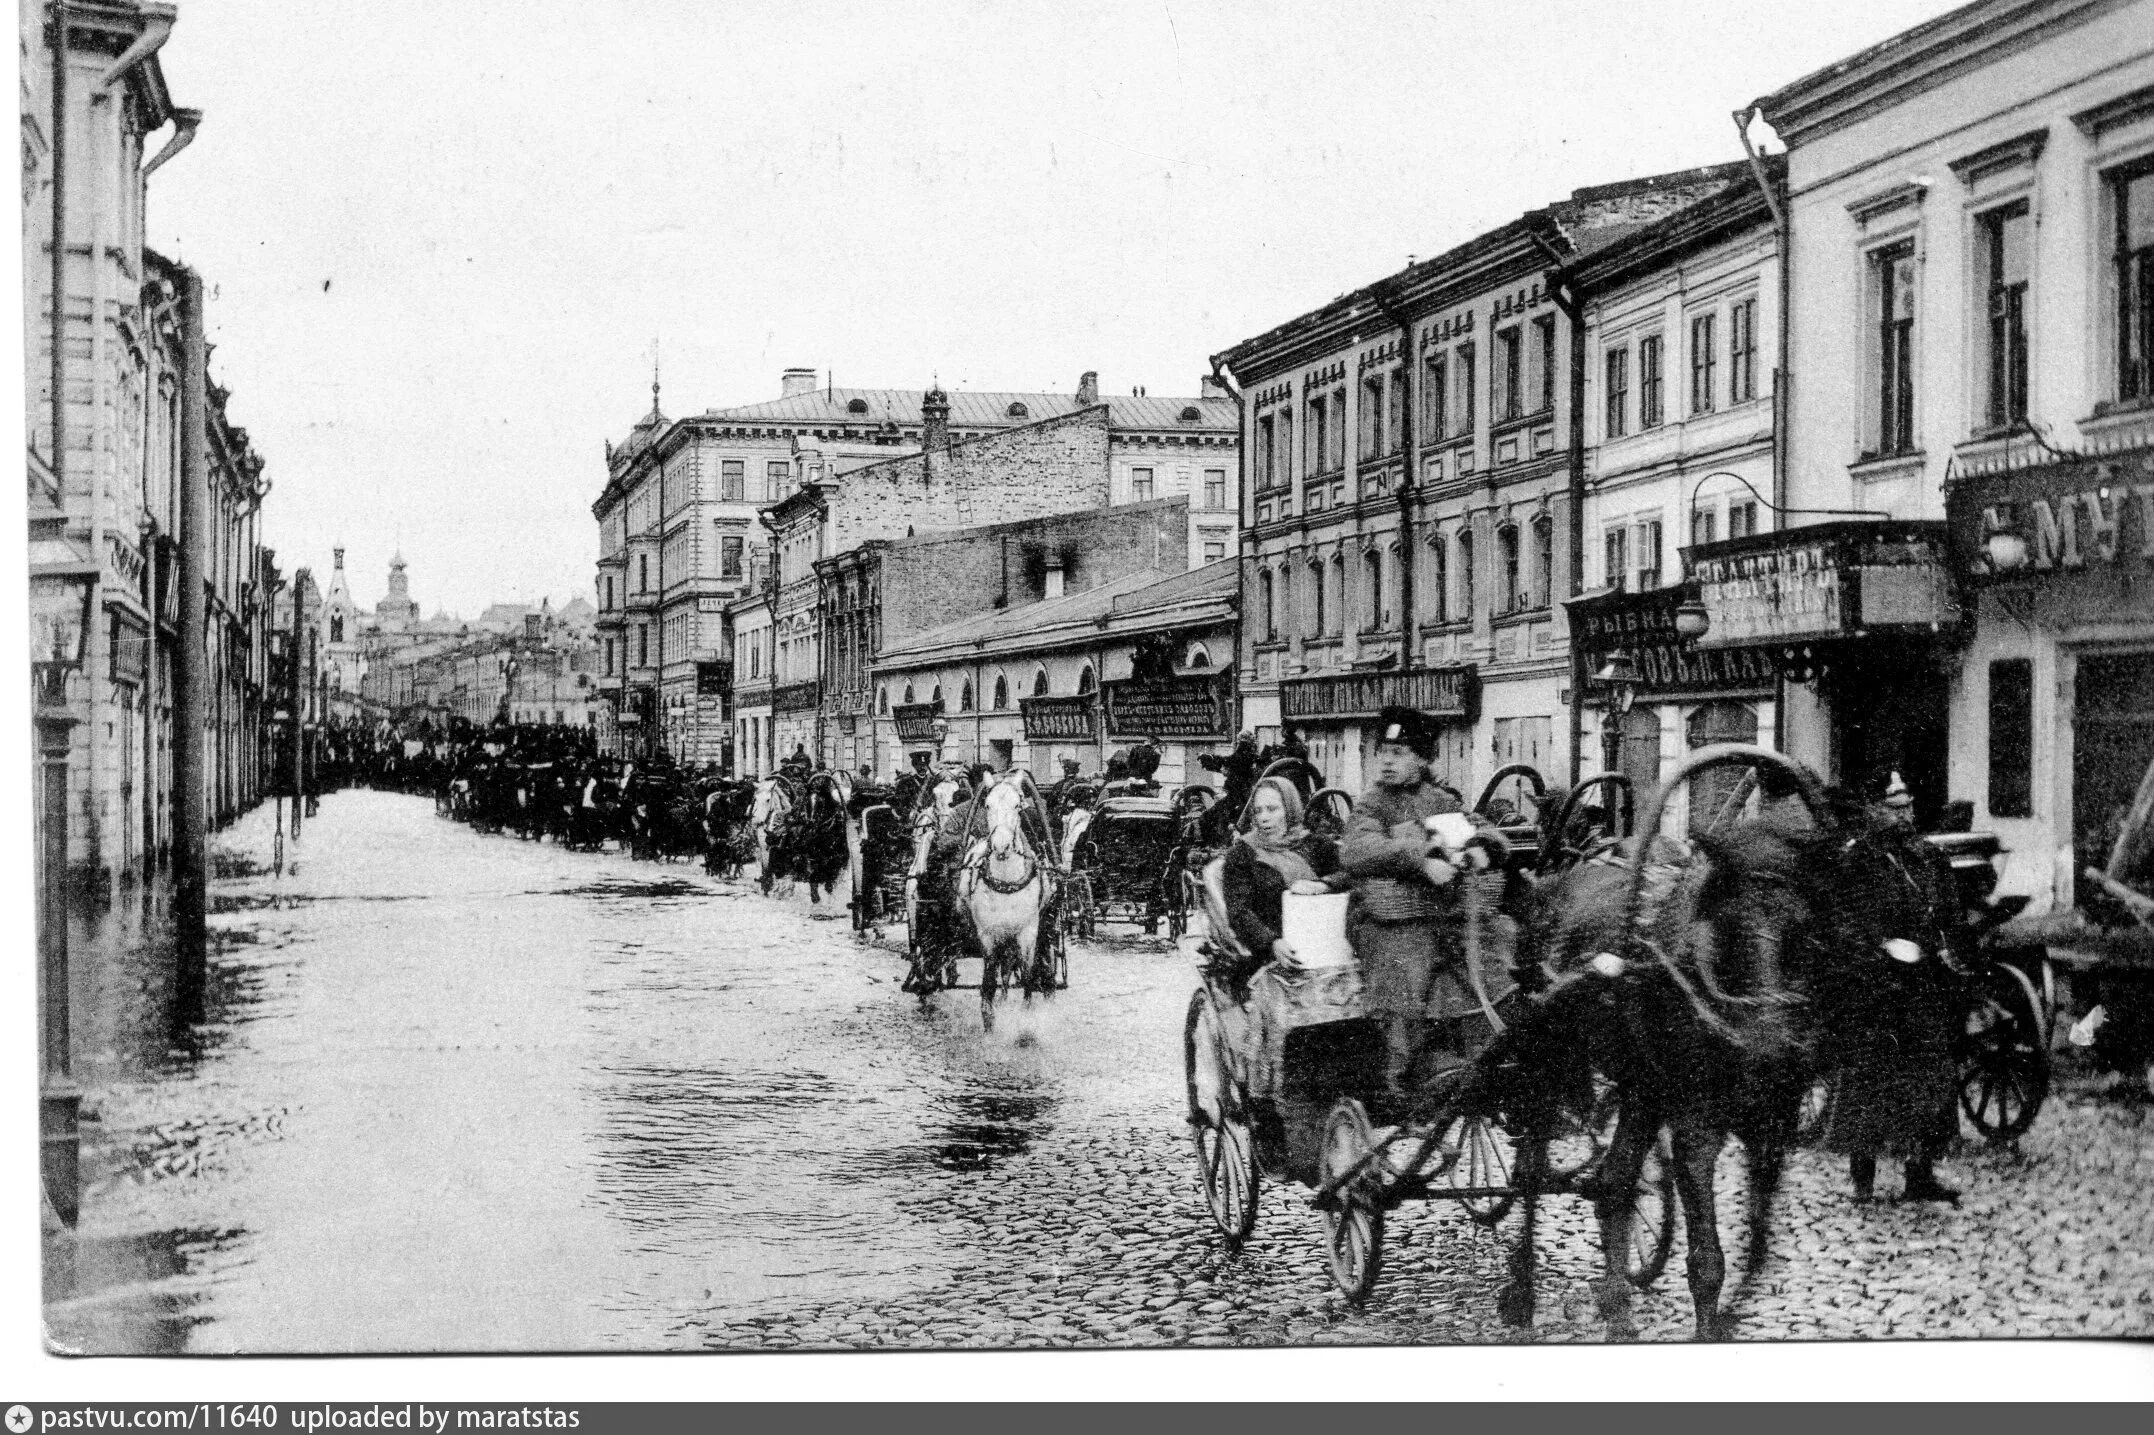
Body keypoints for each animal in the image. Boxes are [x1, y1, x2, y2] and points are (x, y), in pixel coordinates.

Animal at [960, 775, 1059, 1021]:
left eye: (1017, 806)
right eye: (987, 805)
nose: (1001, 846)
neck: (1006, 883)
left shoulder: (1028, 932)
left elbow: (1028, 975)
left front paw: (1026, 1013)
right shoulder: (988, 935)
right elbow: (989, 979)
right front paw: (988, 1014)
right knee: (1003, 968)